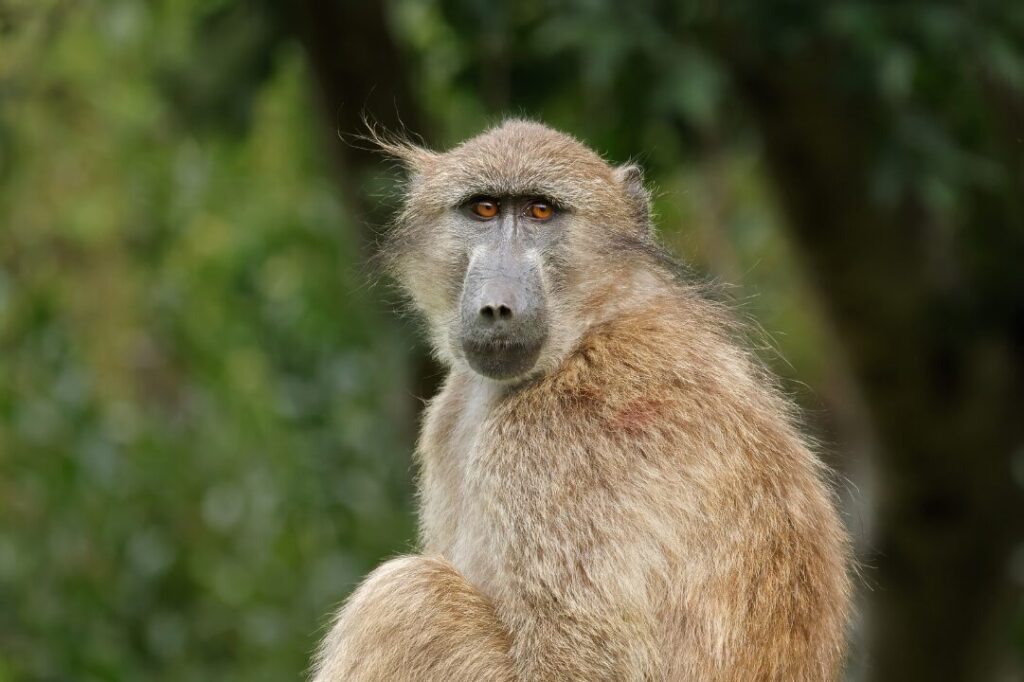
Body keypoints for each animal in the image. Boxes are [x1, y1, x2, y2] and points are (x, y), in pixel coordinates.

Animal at [311, 120, 852, 681]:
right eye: (483, 209)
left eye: (540, 211)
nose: (497, 306)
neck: (590, 328)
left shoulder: (555, 441)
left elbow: (583, 666)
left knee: (406, 596)